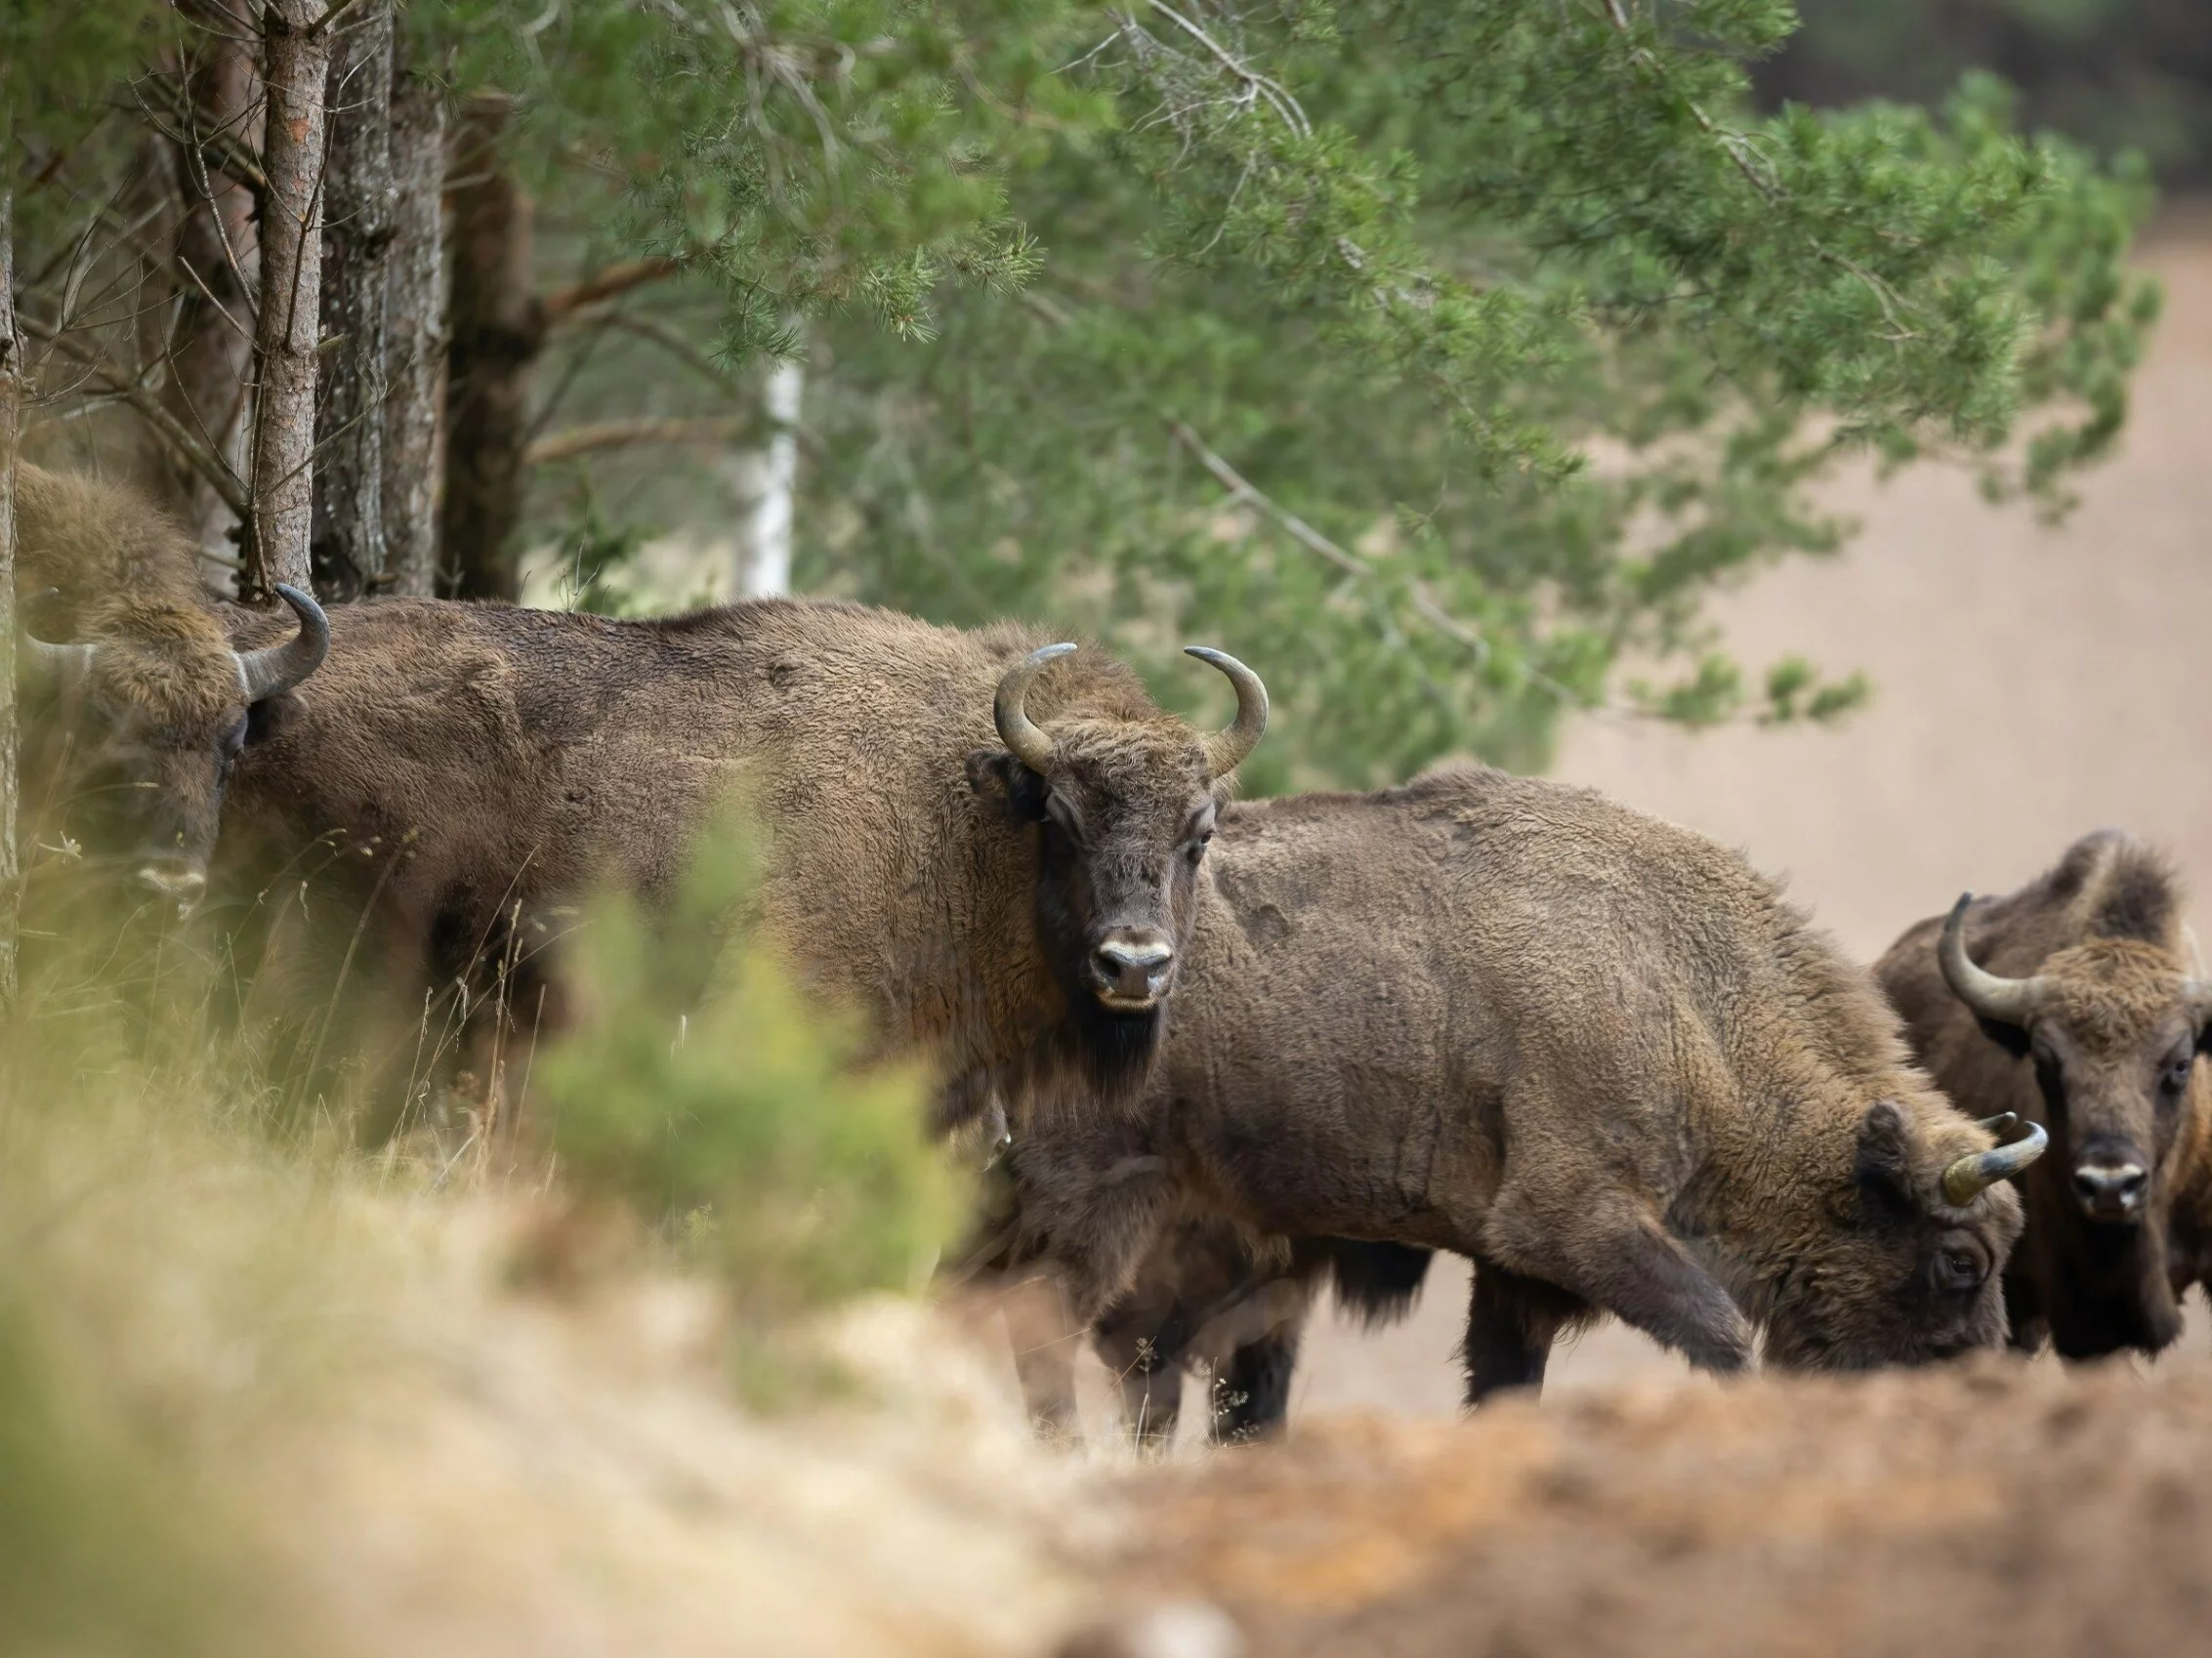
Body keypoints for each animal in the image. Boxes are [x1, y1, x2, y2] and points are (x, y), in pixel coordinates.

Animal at [1004, 765, 2034, 1405]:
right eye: (1960, 1261)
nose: (1981, 1389)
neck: (1686, 994)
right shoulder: (1570, 1221)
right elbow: (1717, 1333)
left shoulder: (1516, 1271)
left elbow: (1505, 1383)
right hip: (1091, 1201)